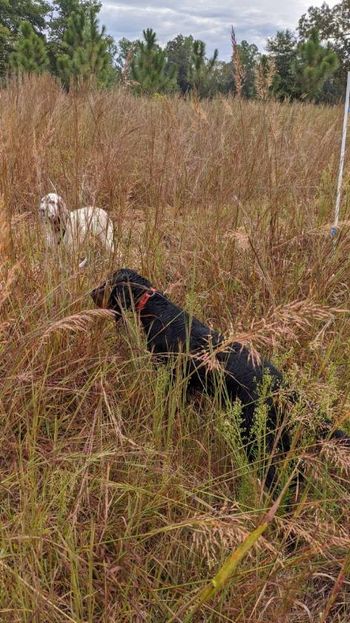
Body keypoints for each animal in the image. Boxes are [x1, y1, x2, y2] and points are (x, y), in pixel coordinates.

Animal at [91, 268, 348, 488]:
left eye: (107, 284)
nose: (91, 293)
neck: (158, 308)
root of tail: (283, 388)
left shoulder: (172, 376)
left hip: (255, 437)